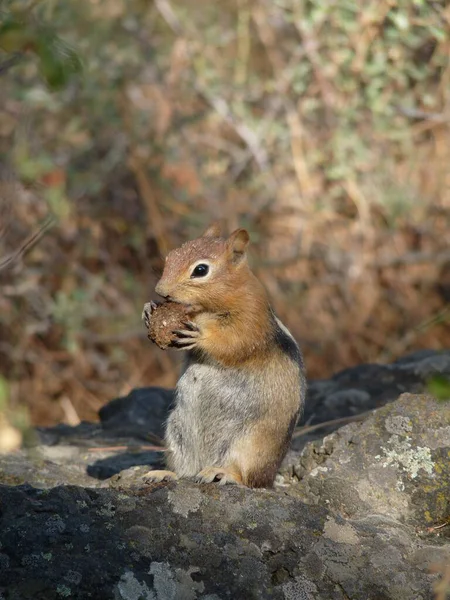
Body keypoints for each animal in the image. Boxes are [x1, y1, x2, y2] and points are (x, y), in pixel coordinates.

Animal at [143, 225, 306, 488]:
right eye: (170, 257)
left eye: (200, 270)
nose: (161, 291)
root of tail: (269, 479)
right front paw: (148, 309)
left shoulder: (251, 320)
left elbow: (232, 343)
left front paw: (201, 336)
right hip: (176, 433)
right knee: (185, 470)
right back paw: (165, 474)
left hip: (251, 445)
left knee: (246, 479)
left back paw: (222, 473)